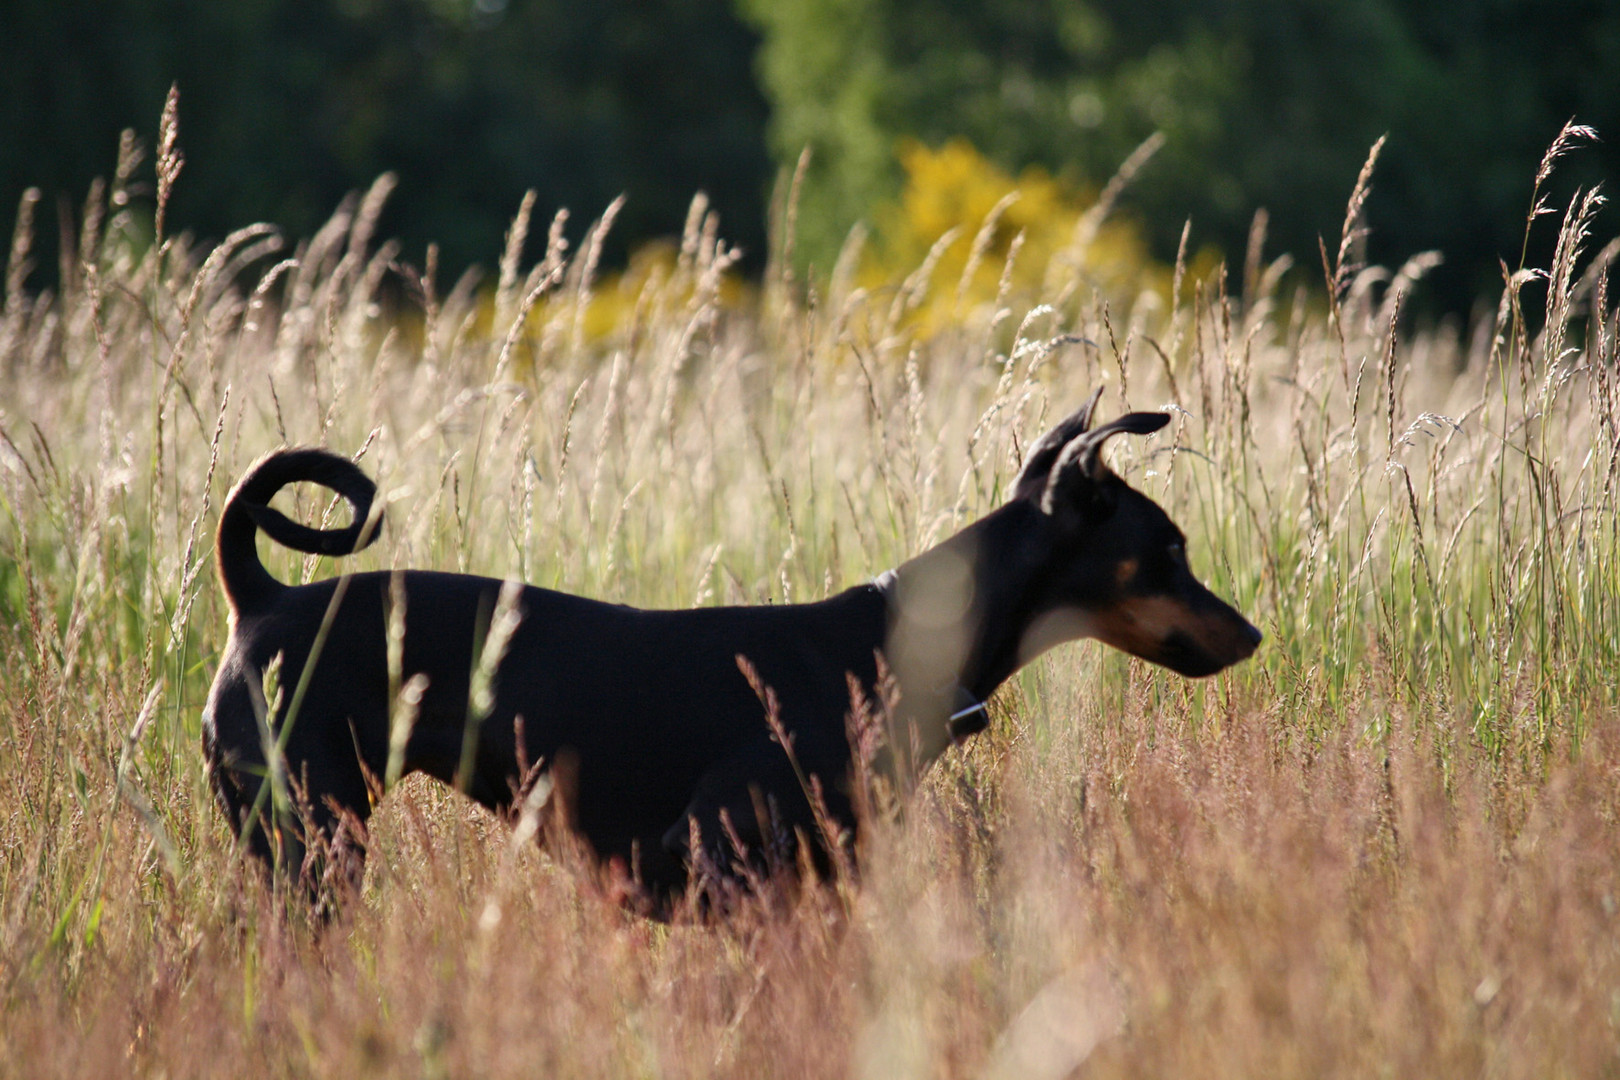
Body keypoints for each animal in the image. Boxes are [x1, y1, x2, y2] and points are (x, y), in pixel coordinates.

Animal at [202, 393, 1257, 906]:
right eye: (1169, 550)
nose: (1251, 634)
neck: (891, 646)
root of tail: (262, 600)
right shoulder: (724, 857)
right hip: (310, 837)